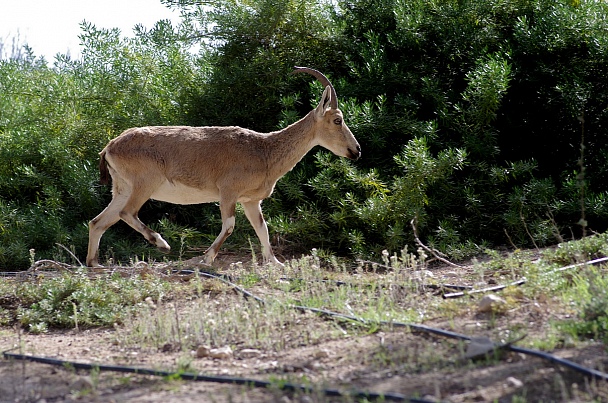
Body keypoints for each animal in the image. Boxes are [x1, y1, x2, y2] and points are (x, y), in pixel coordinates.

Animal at [85, 67, 360, 268]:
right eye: (338, 120)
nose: (356, 150)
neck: (264, 150)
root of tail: (110, 146)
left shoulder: (251, 201)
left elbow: (262, 228)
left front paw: (275, 262)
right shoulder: (228, 192)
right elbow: (229, 226)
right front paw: (206, 258)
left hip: (122, 188)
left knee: (98, 222)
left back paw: (94, 264)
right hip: (144, 183)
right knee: (127, 213)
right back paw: (162, 243)